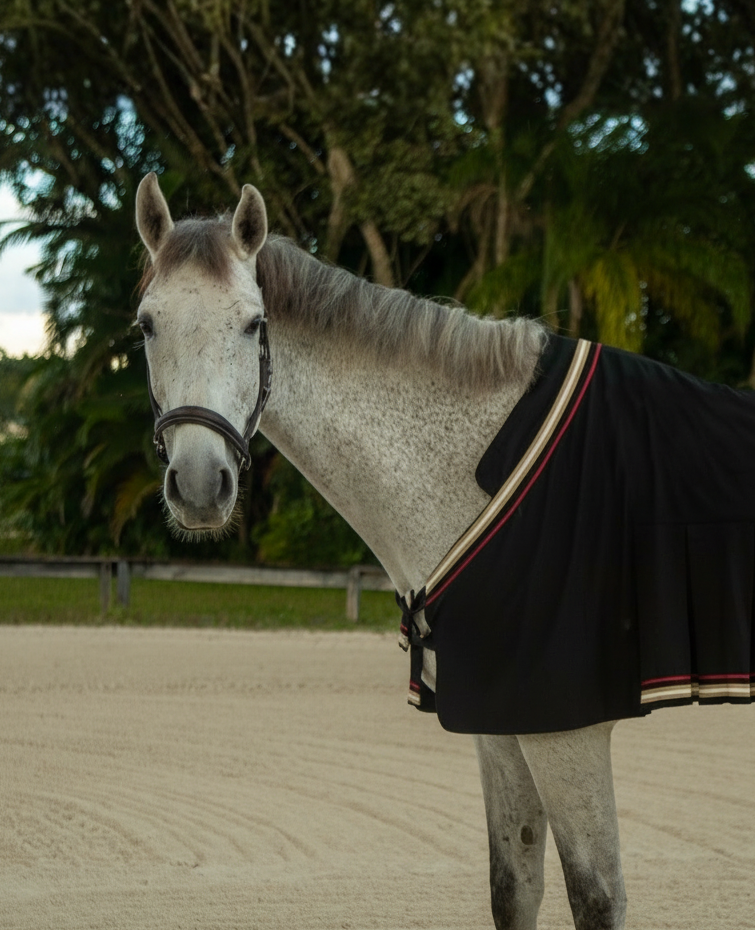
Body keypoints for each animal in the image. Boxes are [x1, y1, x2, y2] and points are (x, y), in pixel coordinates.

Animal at [134, 172, 755, 930]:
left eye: (253, 323)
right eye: (147, 325)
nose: (199, 485)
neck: (486, 466)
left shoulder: (565, 731)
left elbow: (595, 898)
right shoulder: (502, 725)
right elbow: (512, 889)